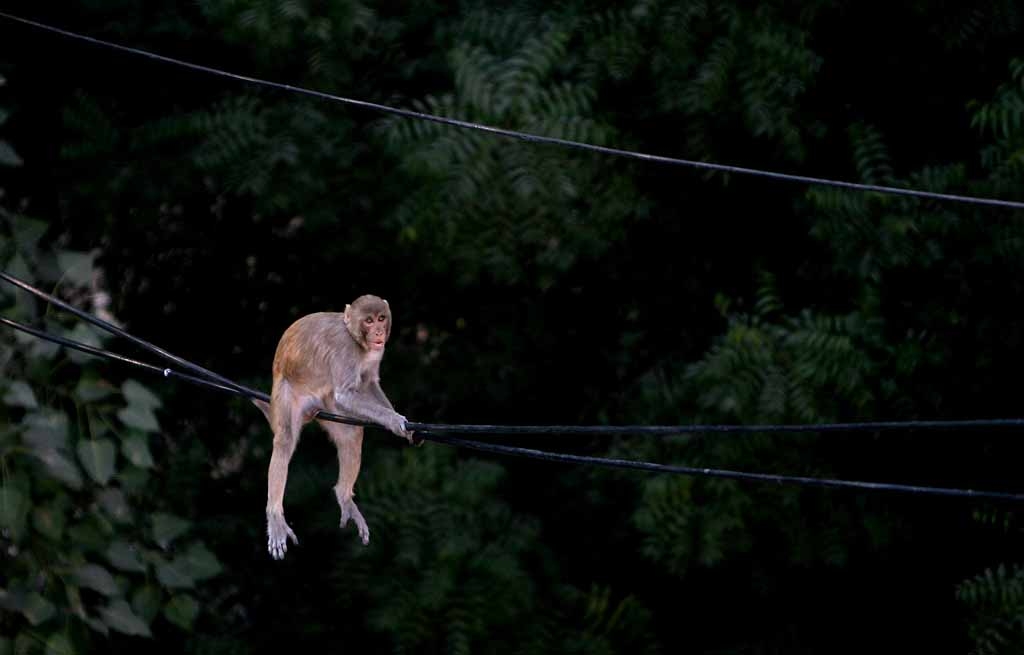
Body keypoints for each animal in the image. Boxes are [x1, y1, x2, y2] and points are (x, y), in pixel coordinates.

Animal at [251, 294, 411, 560]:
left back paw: (344, 496)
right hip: (287, 395)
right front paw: (394, 419)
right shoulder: (346, 351)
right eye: (368, 320)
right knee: (285, 440)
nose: (378, 331)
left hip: (325, 402)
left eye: (381, 318)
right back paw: (275, 515)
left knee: (350, 435)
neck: (357, 340)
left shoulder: (373, 355)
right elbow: (346, 395)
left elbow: (368, 383)